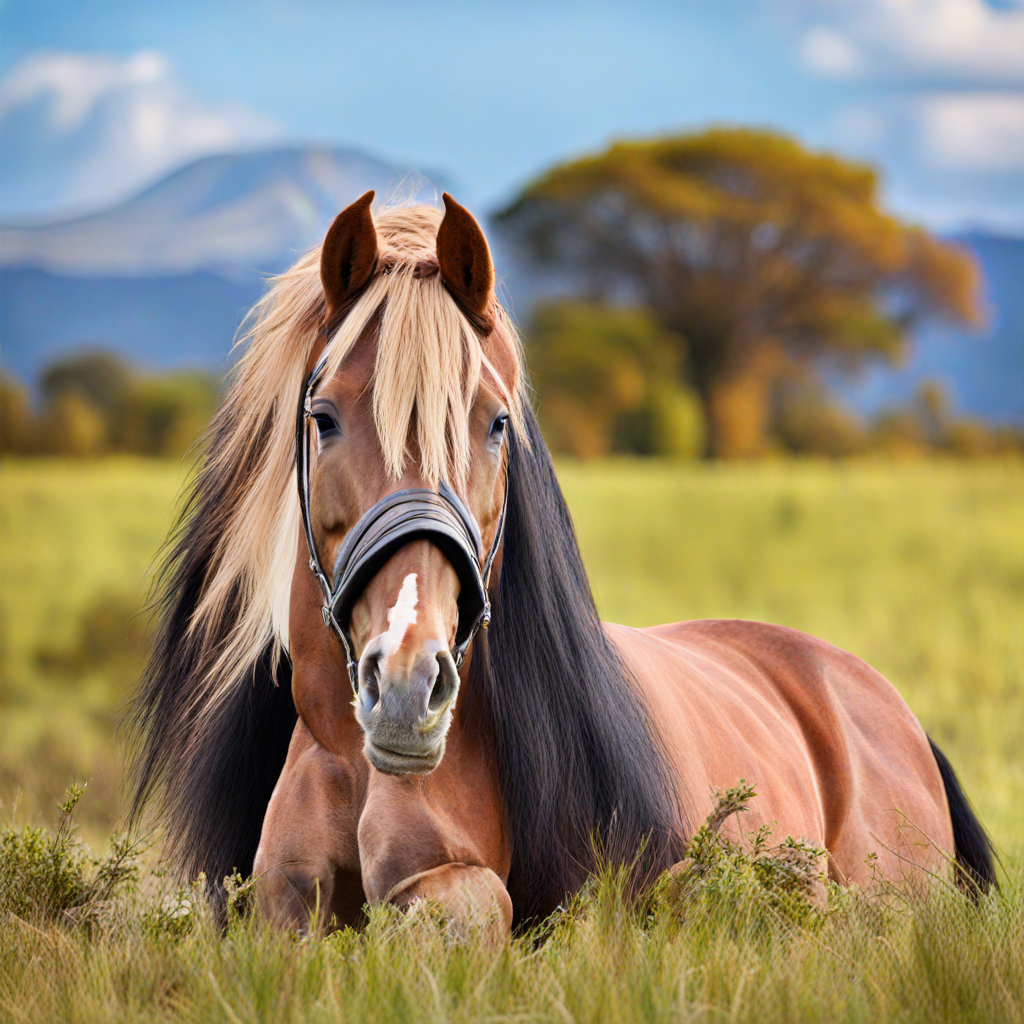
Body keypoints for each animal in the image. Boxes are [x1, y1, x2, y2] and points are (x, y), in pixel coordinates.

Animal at [127, 192, 996, 938]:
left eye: (495, 423)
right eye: (324, 417)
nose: (408, 688)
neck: (351, 758)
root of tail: (884, 702)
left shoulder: (458, 891)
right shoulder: (278, 901)